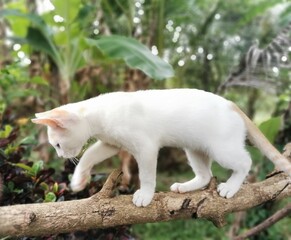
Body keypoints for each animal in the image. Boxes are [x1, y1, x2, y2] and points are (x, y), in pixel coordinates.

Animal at [32, 89, 291, 207]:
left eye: (57, 144)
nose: (60, 155)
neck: (99, 113)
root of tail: (231, 103)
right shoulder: (111, 144)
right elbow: (89, 155)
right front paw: (78, 180)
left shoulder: (146, 147)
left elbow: (147, 175)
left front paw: (145, 195)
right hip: (194, 149)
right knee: (206, 175)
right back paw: (185, 187)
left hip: (222, 149)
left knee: (245, 162)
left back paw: (230, 187)